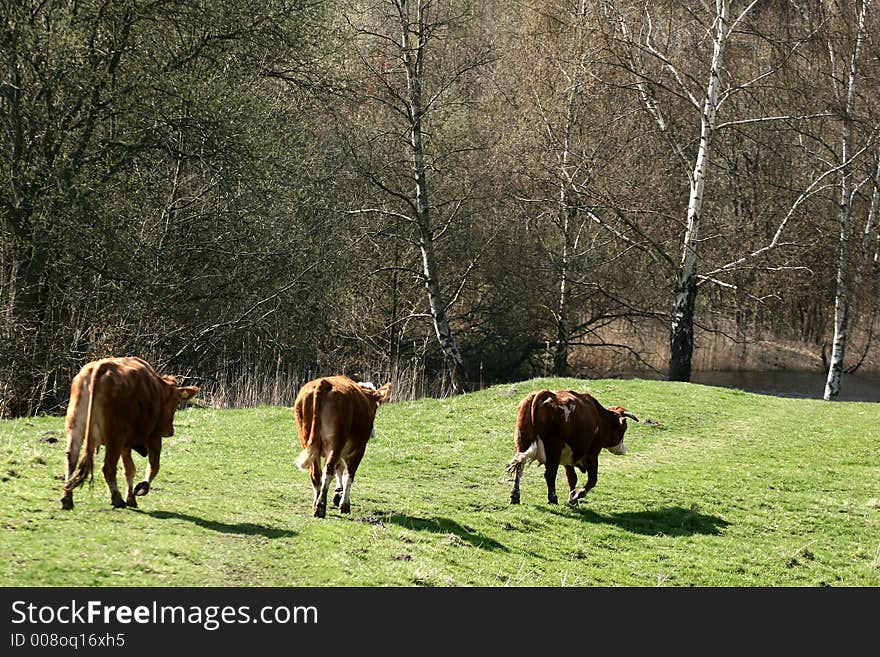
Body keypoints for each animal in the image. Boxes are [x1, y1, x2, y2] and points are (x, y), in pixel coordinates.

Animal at [60, 356, 199, 510]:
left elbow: (129, 469)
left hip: (75, 428)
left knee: (71, 459)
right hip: (114, 437)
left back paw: (67, 498)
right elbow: (153, 466)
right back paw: (117, 499)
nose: (170, 431)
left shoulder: (126, 444)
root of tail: (101, 366)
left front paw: (131, 497)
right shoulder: (153, 437)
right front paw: (142, 488)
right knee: (108, 467)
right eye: (175, 403)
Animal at [294, 374, 390, 516]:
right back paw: (320, 506)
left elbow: (339, 469)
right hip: (336, 443)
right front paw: (344, 504)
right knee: (328, 471)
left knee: (316, 474)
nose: (373, 433)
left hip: (307, 441)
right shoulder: (358, 450)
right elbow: (348, 476)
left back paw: (316, 503)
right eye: (376, 407)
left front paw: (338, 493)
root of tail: (324, 383)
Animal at [502, 390, 640, 508]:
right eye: (623, 429)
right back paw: (553, 498)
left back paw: (515, 496)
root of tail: (545, 394)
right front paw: (576, 495)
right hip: (554, 449)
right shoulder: (592, 453)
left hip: (522, 442)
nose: (624, 449)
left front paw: (572, 497)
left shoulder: (567, 455)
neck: (599, 416)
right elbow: (592, 480)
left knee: (519, 468)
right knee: (550, 474)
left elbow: (572, 478)